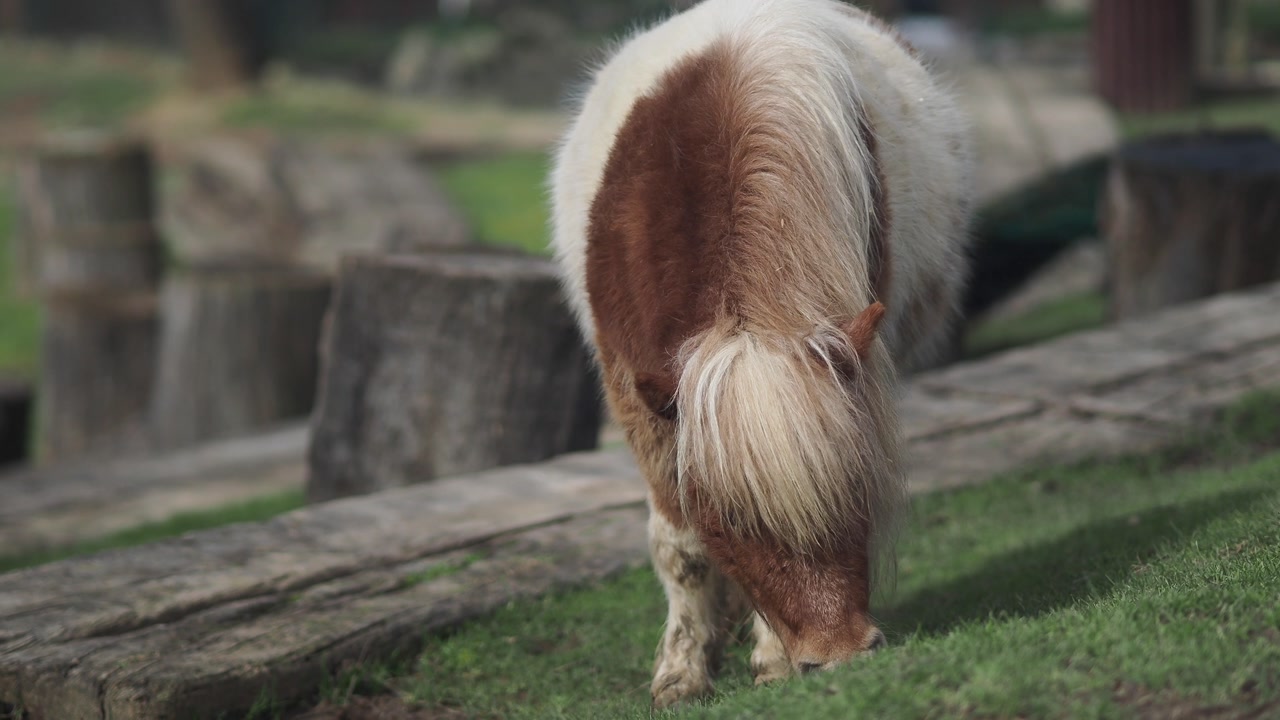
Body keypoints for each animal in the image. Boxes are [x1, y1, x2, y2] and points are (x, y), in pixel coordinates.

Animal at [549, 0, 973, 708]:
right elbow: (680, 547)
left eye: (861, 481)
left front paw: (771, 658)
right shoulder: (637, 396)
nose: (841, 655)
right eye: (728, 519)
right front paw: (681, 671)